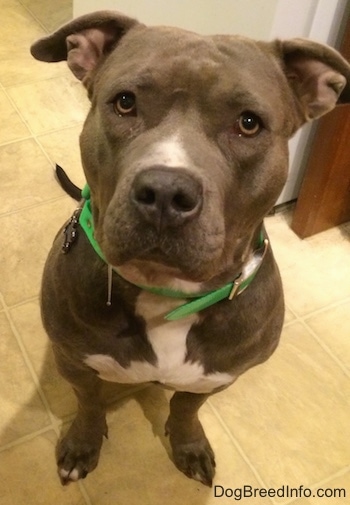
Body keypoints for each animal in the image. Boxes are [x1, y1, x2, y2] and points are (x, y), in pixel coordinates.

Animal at [31, 9, 348, 486]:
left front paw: (188, 443)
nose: (165, 191)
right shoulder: (74, 360)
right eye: (125, 102)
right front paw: (82, 443)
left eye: (249, 123)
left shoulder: (218, 376)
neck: (166, 293)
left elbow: (185, 407)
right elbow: (88, 401)